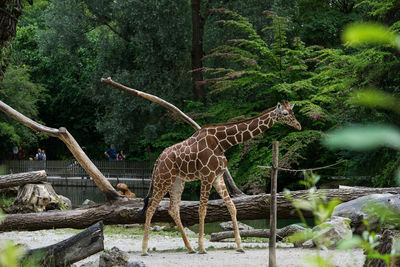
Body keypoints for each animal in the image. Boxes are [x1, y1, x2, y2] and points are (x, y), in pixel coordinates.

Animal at [140, 100, 300, 255]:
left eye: (292, 111)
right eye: (285, 113)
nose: (298, 125)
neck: (222, 142)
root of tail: (157, 161)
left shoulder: (217, 177)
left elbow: (232, 207)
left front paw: (240, 246)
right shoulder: (207, 176)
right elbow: (202, 210)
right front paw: (202, 248)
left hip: (177, 182)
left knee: (173, 209)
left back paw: (190, 248)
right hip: (163, 180)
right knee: (150, 208)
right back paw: (145, 250)